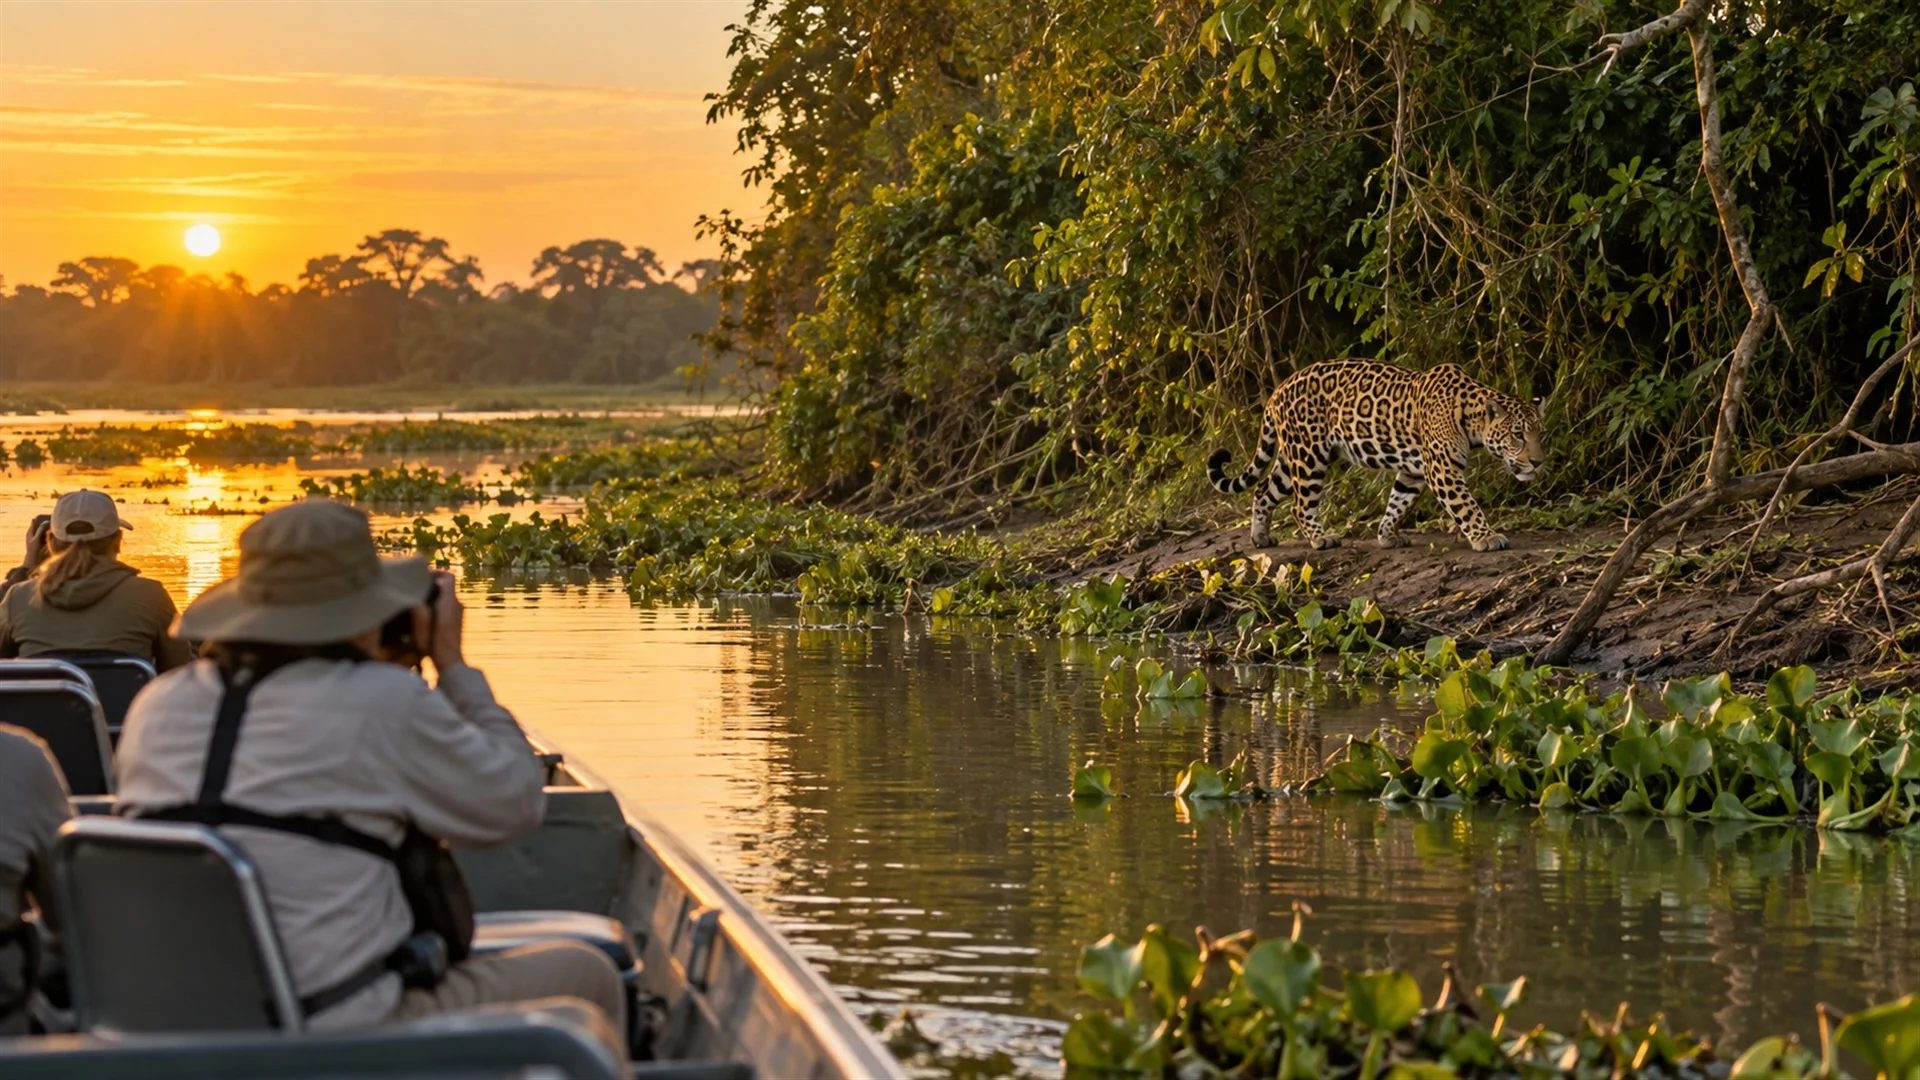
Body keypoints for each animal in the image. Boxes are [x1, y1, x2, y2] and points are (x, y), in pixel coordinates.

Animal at [1207, 359, 1544, 552]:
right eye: (1517, 435)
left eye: (1539, 433)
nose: (1538, 462)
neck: (1471, 418)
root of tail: (1277, 390)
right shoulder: (1442, 471)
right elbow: (1467, 507)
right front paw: (1486, 537)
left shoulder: (1414, 470)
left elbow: (1398, 502)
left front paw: (1386, 535)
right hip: (1309, 455)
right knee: (1300, 505)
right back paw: (1321, 539)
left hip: (1296, 456)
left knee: (1264, 490)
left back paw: (1260, 538)